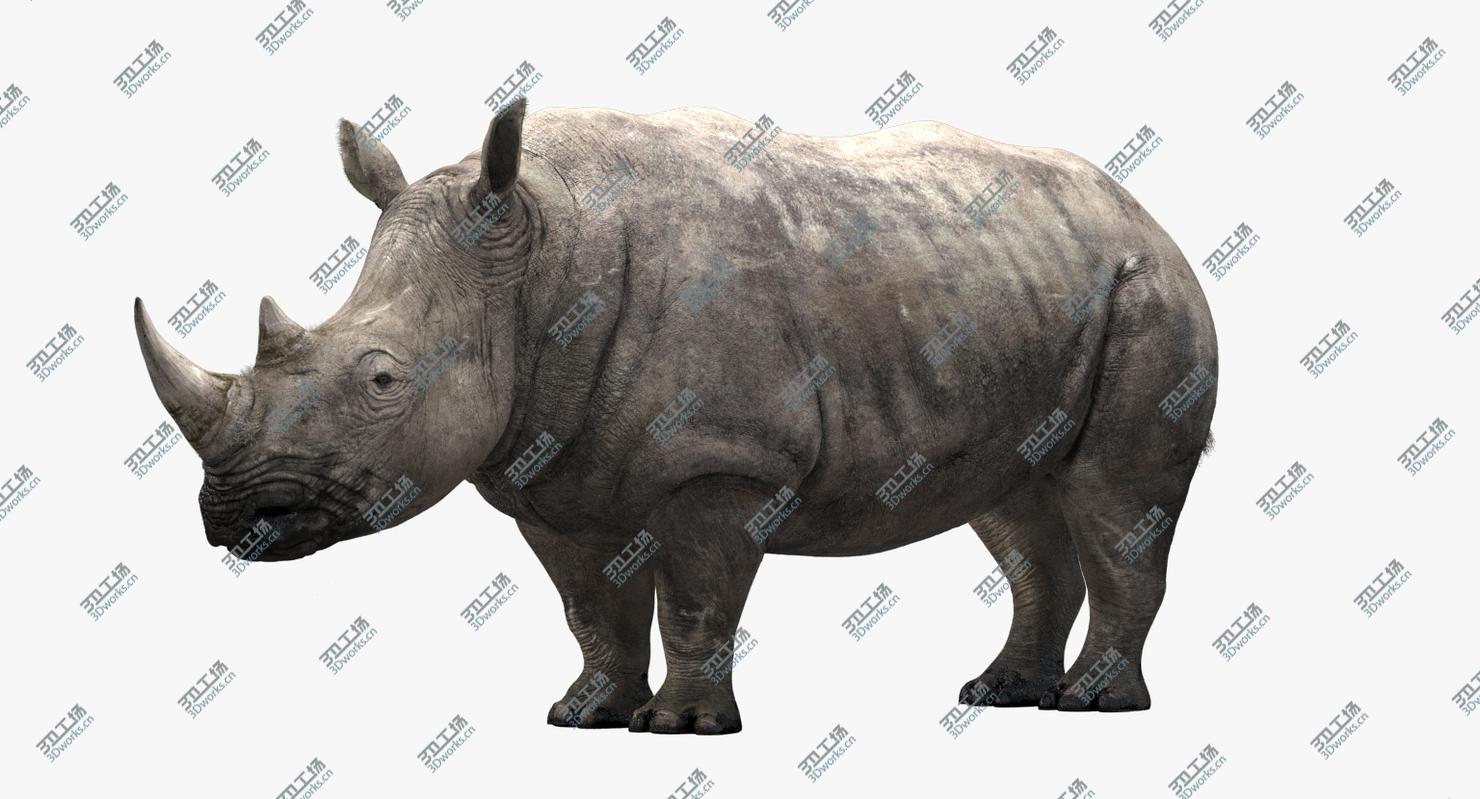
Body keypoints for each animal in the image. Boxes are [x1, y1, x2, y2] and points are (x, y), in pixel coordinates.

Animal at [134, 98, 1216, 735]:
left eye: (382, 381)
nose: (232, 514)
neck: (539, 252)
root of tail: (1145, 212)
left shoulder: (725, 457)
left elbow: (695, 597)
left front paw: (684, 728)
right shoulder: (550, 465)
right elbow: (589, 606)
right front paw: (582, 715)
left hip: (1146, 294)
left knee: (1115, 497)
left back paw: (1094, 705)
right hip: (1022, 285)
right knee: (1017, 506)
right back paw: (999, 694)